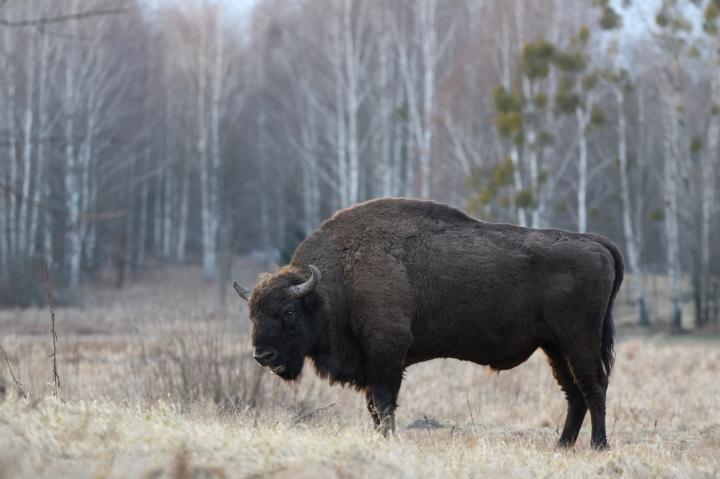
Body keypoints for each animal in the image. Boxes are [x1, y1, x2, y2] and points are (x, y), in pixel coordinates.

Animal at [234, 198, 623, 449]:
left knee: (594, 386)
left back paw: (598, 445)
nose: (263, 356)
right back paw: (562, 444)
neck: (340, 277)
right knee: (574, 393)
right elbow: (374, 406)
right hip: (554, 346)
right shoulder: (372, 361)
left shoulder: (386, 352)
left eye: (288, 312)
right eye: (252, 313)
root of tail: (595, 242)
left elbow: (384, 402)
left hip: (579, 340)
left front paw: (389, 439)